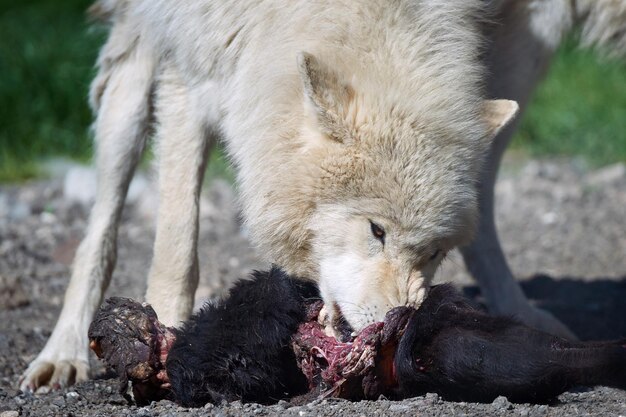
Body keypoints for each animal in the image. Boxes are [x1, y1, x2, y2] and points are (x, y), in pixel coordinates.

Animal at [19, 0, 624, 390]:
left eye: (433, 254)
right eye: (376, 231)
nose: (401, 326)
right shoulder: (191, 68)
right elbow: (176, 244)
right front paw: (163, 338)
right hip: (135, 61)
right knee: (105, 208)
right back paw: (63, 353)